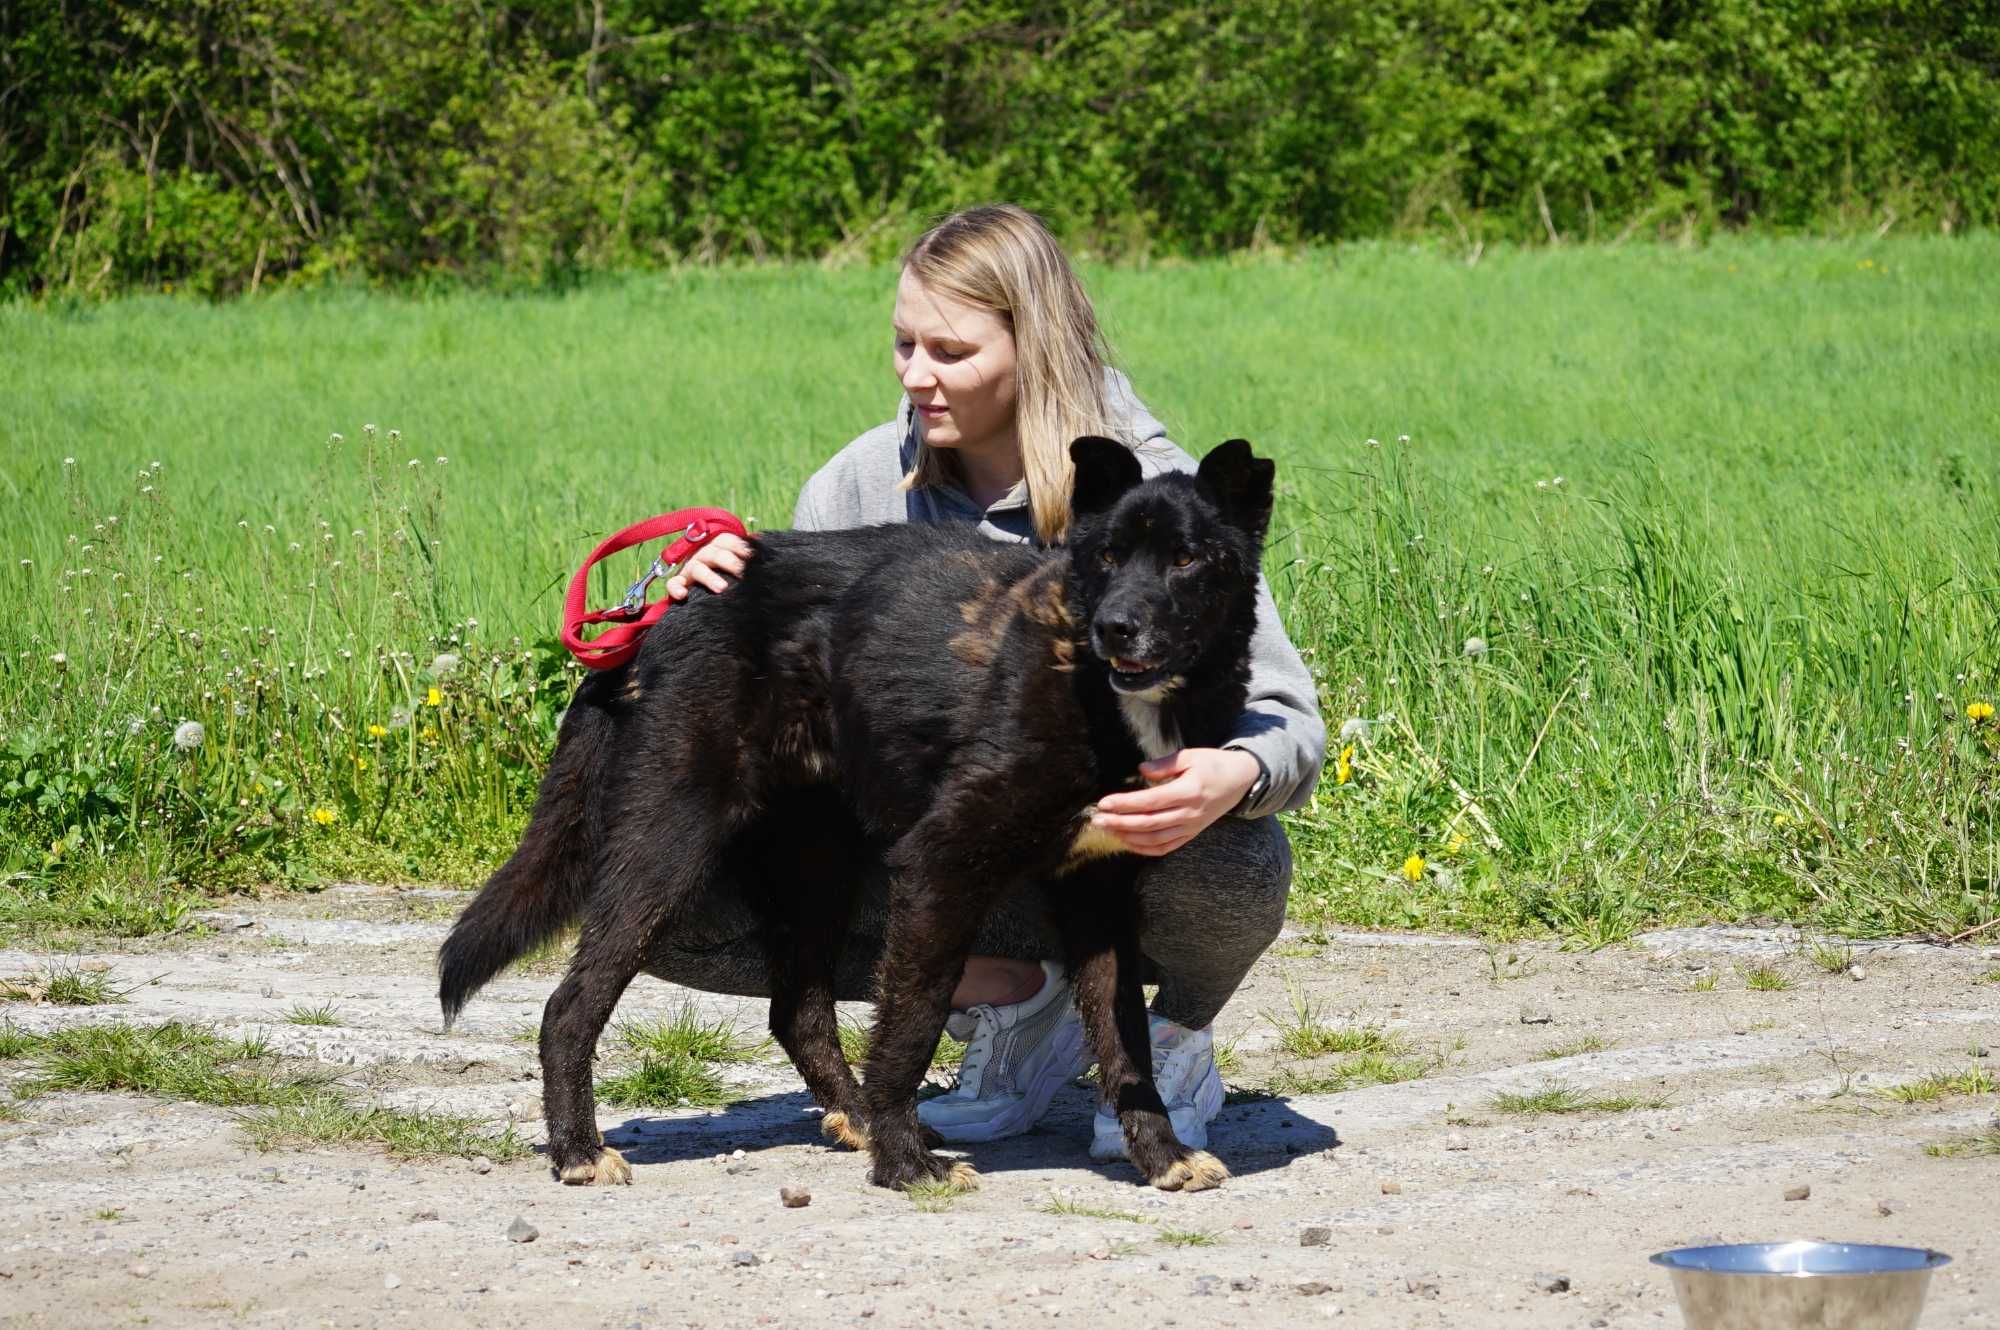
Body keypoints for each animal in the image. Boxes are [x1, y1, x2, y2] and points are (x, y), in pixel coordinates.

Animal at [444, 436, 1272, 1192]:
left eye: (1187, 559)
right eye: (1106, 556)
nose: (1115, 629)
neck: (1093, 687)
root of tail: (654, 617)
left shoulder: (1099, 895)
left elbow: (1125, 1036)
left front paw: (1161, 1156)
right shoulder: (941, 864)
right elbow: (913, 1020)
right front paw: (906, 1165)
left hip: (817, 868)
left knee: (797, 1011)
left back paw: (856, 1115)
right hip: (667, 846)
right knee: (569, 1004)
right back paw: (580, 1151)